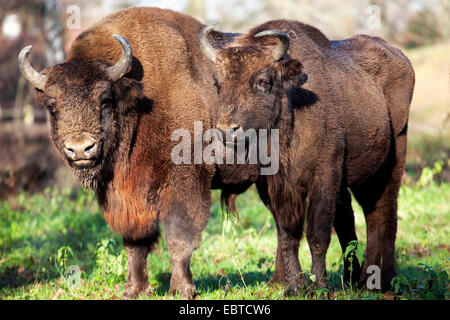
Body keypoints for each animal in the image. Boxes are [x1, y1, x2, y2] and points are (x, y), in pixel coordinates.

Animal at [200, 20, 414, 294]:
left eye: (263, 81)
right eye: (218, 84)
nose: (227, 129)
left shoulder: (324, 177)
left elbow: (317, 234)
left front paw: (320, 286)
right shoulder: (277, 188)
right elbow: (288, 235)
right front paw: (294, 286)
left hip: (390, 162)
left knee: (382, 213)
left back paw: (377, 281)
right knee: (349, 217)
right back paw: (354, 278)